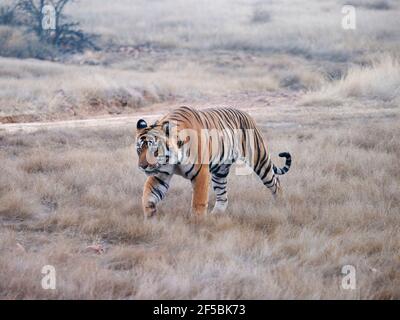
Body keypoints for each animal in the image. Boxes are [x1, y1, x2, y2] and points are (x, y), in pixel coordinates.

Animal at [135, 105, 290, 218]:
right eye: (139, 150)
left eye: (155, 151)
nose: (142, 166)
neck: (173, 158)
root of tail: (246, 113)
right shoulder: (160, 174)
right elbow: (148, 195)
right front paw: (150, 216)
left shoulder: (201, 174)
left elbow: (198, 200)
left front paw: (197, 222)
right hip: (220, 171)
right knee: (223, 196)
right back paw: (216, 214)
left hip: (259, 160)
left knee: (275, 182)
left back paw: (281, 205)